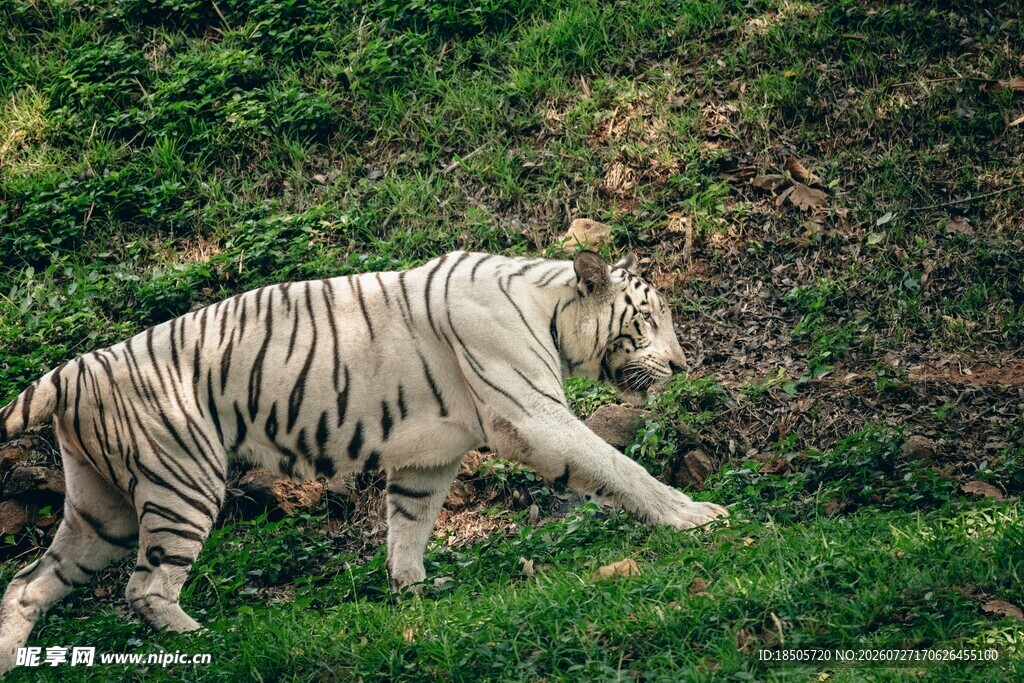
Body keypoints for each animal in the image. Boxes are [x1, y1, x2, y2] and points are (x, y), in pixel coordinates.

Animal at [0, 249, 728, 673]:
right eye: (649, 318)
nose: (683, 365)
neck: (549, 306)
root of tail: (74, 368)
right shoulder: (532, 415)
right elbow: (619, 465)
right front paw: (696, 515)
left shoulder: (428, 455)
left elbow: (409, 524)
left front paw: (413, 589)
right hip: (182, 481)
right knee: (145, 587)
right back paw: (200, 636)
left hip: (103, 511)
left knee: (28, 582)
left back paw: (11, 655)